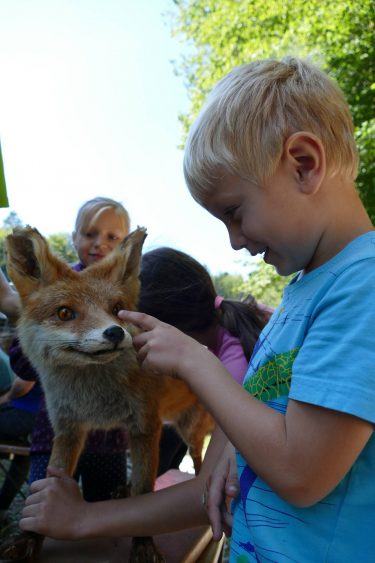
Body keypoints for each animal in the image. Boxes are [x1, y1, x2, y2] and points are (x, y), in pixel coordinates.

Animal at [2, 227, 214, 560]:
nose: (115, 332)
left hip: (187, 432)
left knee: (196, 461)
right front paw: (30, 537)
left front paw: (143, 542)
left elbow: (145, 492)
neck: (95, 399)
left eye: (116, 309)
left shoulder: (145, 426)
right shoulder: (67, 428)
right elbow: (51, 478)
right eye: (65, 312)